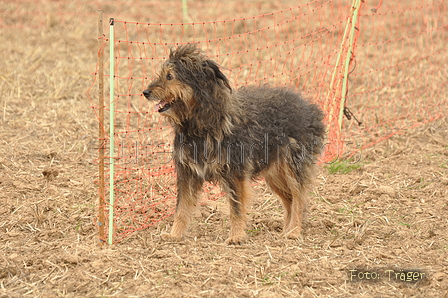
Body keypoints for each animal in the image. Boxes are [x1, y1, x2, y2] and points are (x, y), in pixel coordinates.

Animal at [144, 44, 326, 244]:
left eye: (170, 76)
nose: (145, 93)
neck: (201, 124)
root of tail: (310, 108)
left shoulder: (235, 172)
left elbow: (236, 208)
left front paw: (237, 236)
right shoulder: (187, 172)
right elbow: (181, 208)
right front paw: (174, 235)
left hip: (293, 167)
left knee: (299, 199)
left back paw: (293, 231)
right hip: (275, 174)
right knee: (289, 200)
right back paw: (286, 230)